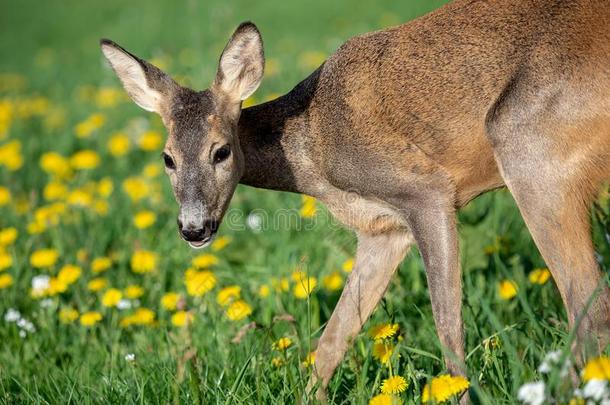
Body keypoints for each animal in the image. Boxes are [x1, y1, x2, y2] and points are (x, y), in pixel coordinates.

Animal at [101, 0, 608, 398]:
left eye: (221, 151)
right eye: (167, 158)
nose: (193, 228)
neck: (312, 146)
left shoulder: (427, 190)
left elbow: (448, 328)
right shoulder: (383, 229)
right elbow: (333, 338)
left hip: (527, 142)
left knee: (588, 308)